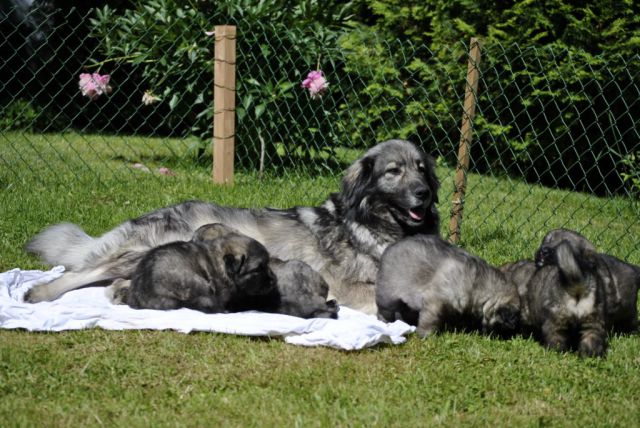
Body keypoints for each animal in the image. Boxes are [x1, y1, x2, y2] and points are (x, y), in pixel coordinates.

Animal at [23, 139, 440, 312]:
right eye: (393, 171)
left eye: (422, 168)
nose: (423, 194)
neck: (372, 224)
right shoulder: (348, 284)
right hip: (149, 249)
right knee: (82, 272)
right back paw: (41, 293)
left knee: (112, 282)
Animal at [376, 234, 520, 338]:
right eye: (503, 326)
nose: (496, 338)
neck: (478, 285)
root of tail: (387, 250)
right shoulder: (435, 301)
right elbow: (430, 319)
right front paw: (425, 335)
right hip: (388, 296)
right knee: (384, 310)